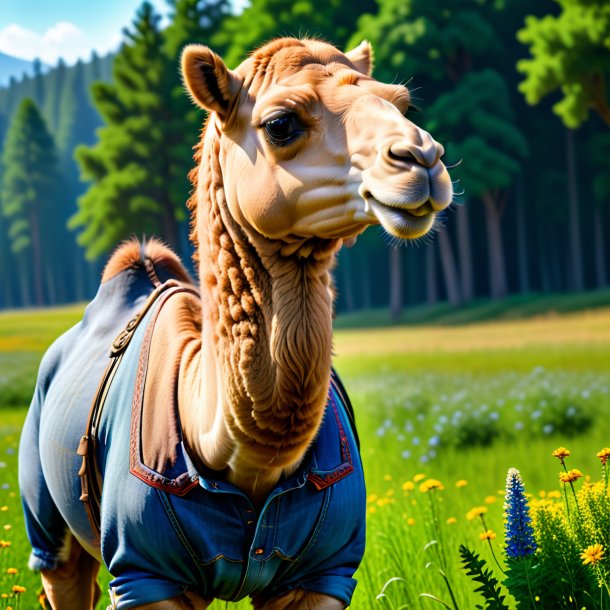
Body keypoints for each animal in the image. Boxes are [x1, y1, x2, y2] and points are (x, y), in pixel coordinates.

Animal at [19, 36, 452, 608]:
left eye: (402, 104)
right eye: (281, 124)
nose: (421, 159)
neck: (236, 461)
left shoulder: (324, 571)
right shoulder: (142, 573)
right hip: (47, 529)